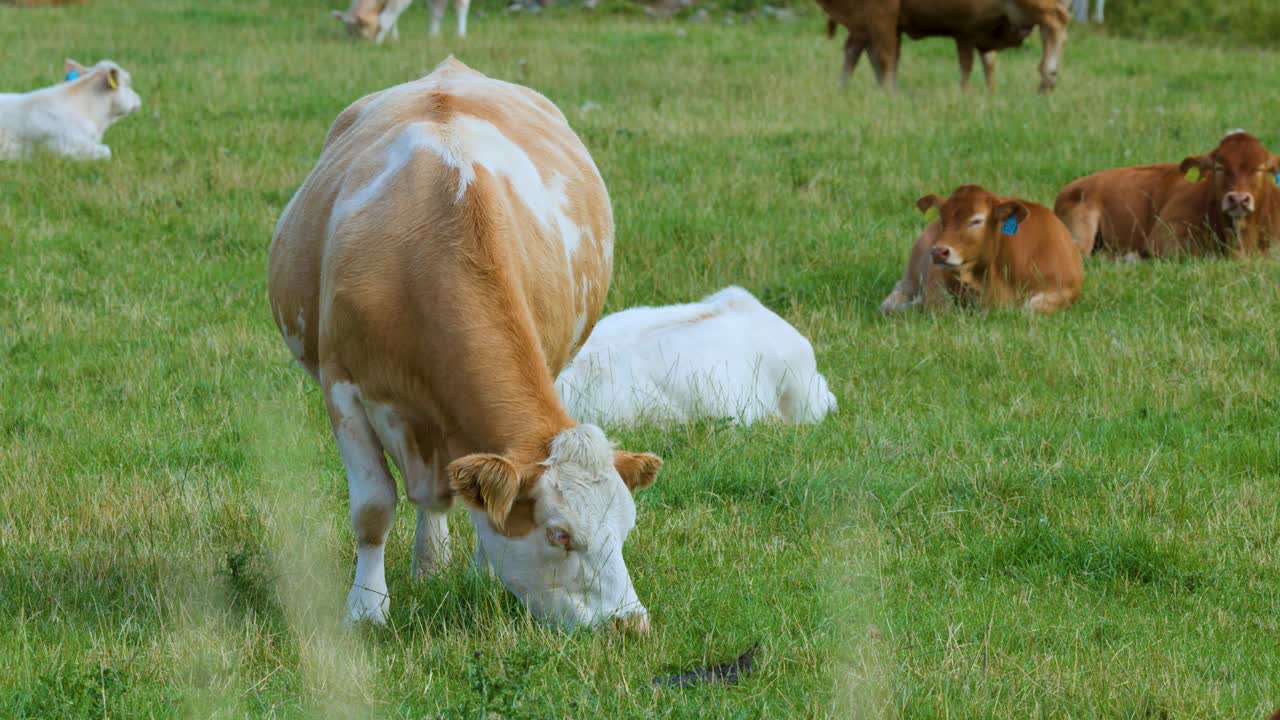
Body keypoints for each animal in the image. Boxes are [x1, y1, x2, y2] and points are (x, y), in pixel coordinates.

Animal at [267, 57, 661, 631]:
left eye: (627, 529)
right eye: (559, 534)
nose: (629, 624)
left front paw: (481, 577)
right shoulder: (342, 389)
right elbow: (373, 507)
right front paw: (366, 609)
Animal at [332, 0, 469, 42]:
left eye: (361, 29)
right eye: (349, 32)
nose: (357, 45)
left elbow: (385, 18)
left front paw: (378, 42)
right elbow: (436, 11)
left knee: (461, 6)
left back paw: (460, 35)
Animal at [817, 0, 1070, 92]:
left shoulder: (881, 13)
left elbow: (885, 56)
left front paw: (889, 93)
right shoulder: (864, 22)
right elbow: (859, 54)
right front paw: (843, 90)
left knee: (1056, 19)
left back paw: (1048, 74)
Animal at [881, 185, 1084, 314]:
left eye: (977, 220)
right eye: (942, 218)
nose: (938, 252)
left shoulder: (1064, 291)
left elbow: (1029, 309)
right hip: (912, 274)